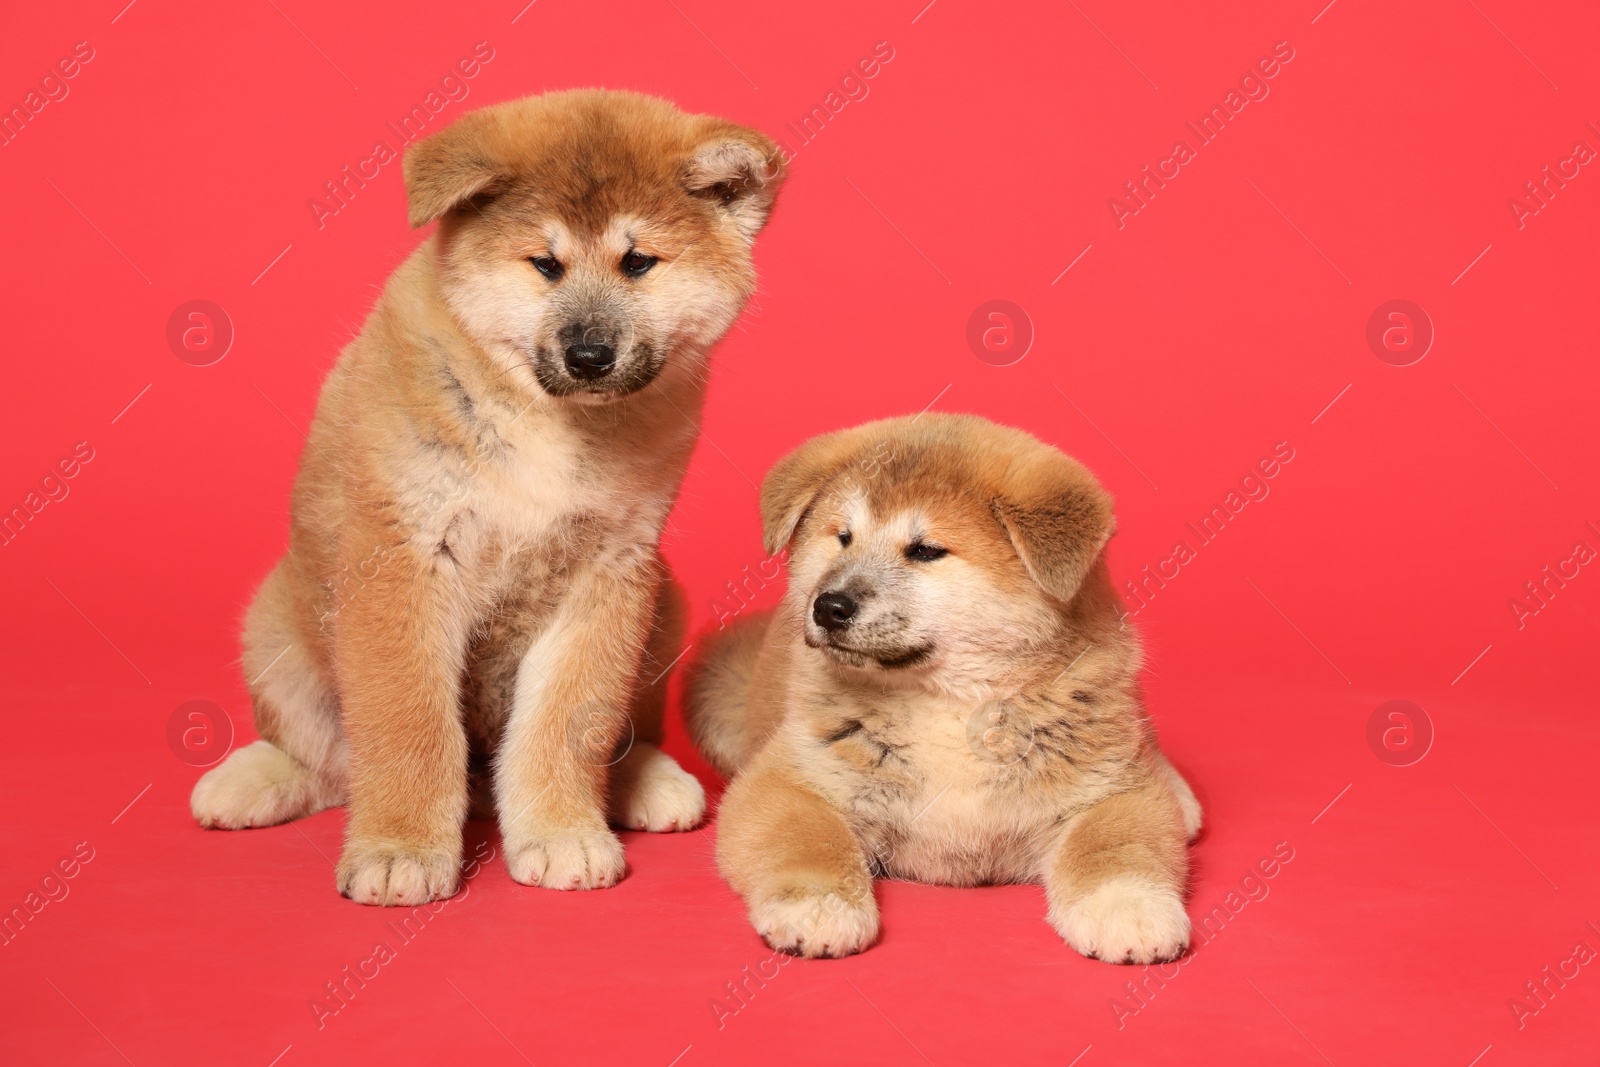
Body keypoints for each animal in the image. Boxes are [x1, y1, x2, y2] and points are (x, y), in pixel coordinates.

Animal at [192, 87, 787, 908]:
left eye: (638, 263)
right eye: (544, 264)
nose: (589, 353)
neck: (546, 421)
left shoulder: (608, 574)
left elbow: (566, 725)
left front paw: (562, 833)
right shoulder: (402, 563)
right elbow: (408, 728)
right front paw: (399, 848)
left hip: (665, 604)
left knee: (620, 730)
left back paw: (645, 782)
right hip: (274, 626)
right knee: (324, 762)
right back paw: (249, 781)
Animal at [688, 415, 1203, 959]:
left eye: (926, 551)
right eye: (843, 537)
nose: (828, 606)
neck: (950, 704)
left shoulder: (1110, 788)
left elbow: (1116, 847)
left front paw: (1130, 907)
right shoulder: (788, 780)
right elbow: (806, 841)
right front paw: (818, 905)